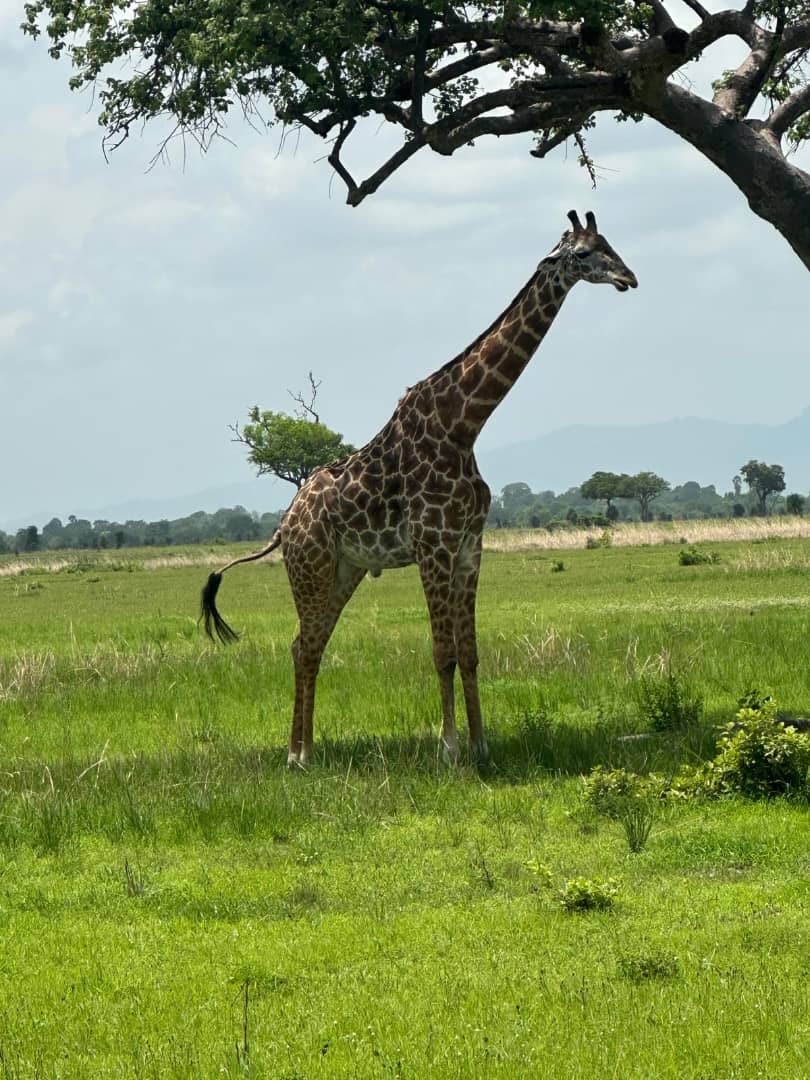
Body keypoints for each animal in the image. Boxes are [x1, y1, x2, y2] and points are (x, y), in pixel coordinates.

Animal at [201, 210, 638, 766]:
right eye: (583, 253)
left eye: (610, 244)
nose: (629, 278)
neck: (463, 425)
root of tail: (284, 525)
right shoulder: (433, 545)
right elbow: (442, 652)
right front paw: (448, 749)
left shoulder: (470, 545)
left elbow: (469, 652)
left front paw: (480, 745)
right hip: (310, 567)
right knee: (304, 643)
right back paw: (297, 755)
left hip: (345, 570)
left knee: (308, 644)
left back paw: (306, 750)